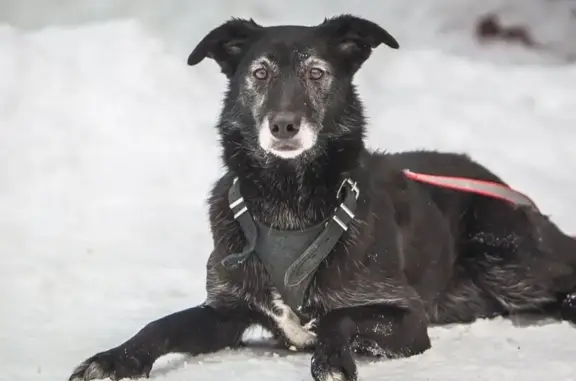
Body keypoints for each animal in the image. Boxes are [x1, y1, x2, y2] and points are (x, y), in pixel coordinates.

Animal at [70, 14, 576, 380]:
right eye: (259, 73)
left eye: (317, 73)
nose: (284, 124)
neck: (286, 202)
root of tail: (497, 179)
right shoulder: (225, 313)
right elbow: (163, 325)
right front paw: (115, 358)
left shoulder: (408, 317)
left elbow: (339, 319)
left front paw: (333, 358)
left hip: (504, 254)